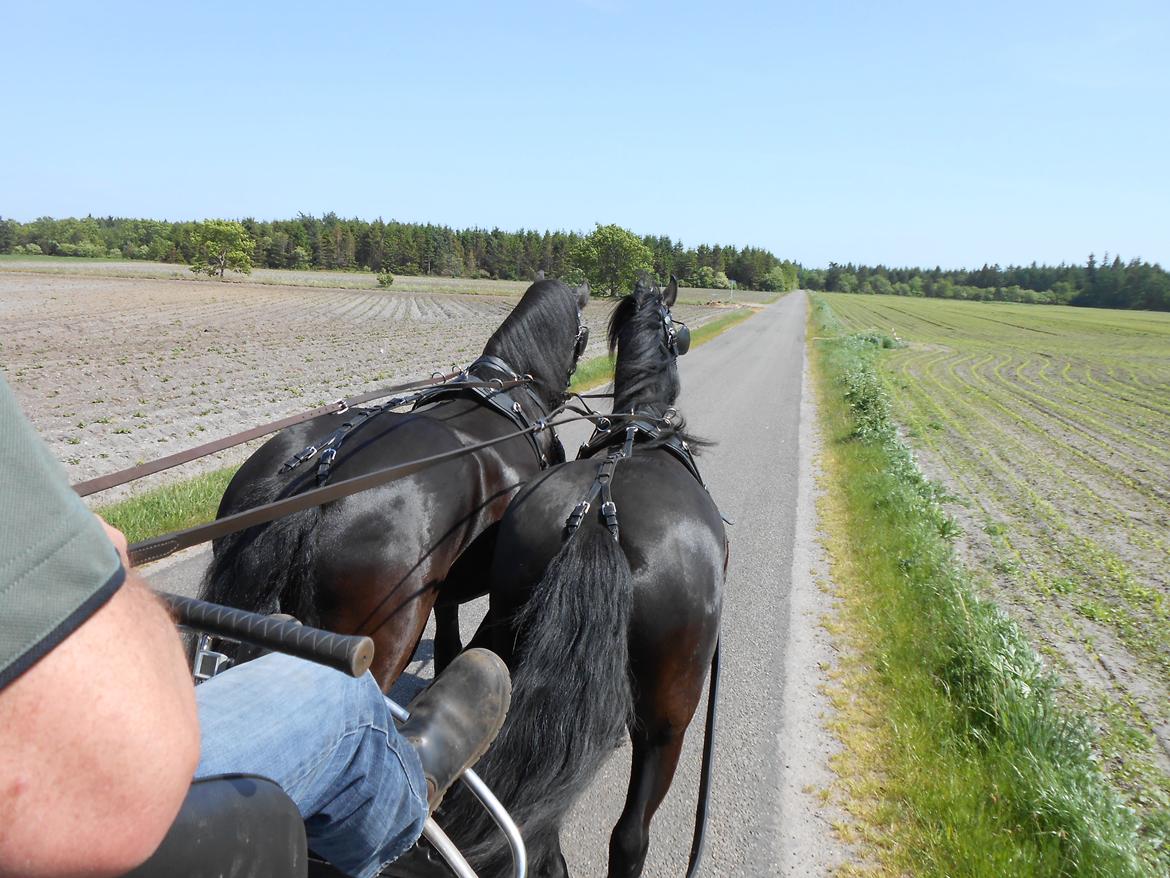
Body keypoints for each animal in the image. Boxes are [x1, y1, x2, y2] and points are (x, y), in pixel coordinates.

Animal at [198, 278, 594, 693]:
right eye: (583, 335)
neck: (509, 386)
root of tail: (310, 487)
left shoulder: (445, 588)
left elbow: (448, 635)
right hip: (386, 639)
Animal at [442, 278, 725, 875]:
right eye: (680, 329)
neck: (639, 428)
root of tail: (598, 518)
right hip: (668, 722)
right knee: (630, 836)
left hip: (506, 642)